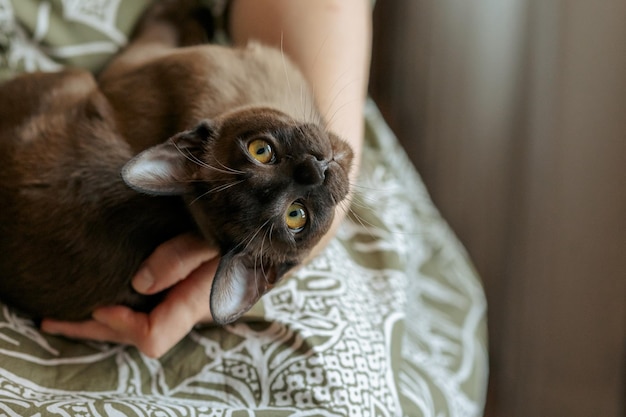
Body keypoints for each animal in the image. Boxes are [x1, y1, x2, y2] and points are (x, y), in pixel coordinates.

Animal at [0, 0, 352, 324]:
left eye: (297, 216)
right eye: (261, 151)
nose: (316, 168)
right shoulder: (133, 64)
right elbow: (167, 22)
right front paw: (201, 13)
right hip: (77, 77)